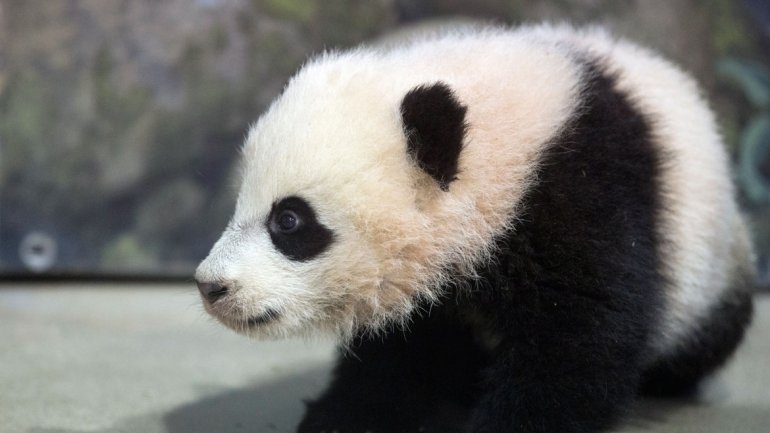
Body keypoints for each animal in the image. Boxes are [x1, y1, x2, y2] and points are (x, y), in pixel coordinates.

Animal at [195, 24, 755, 433]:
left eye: (289, 221)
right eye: (240, 201)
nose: (211, 286)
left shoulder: (583, 190)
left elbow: (581, 335)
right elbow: (399, 353)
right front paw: (342, 417)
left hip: (713, 266)